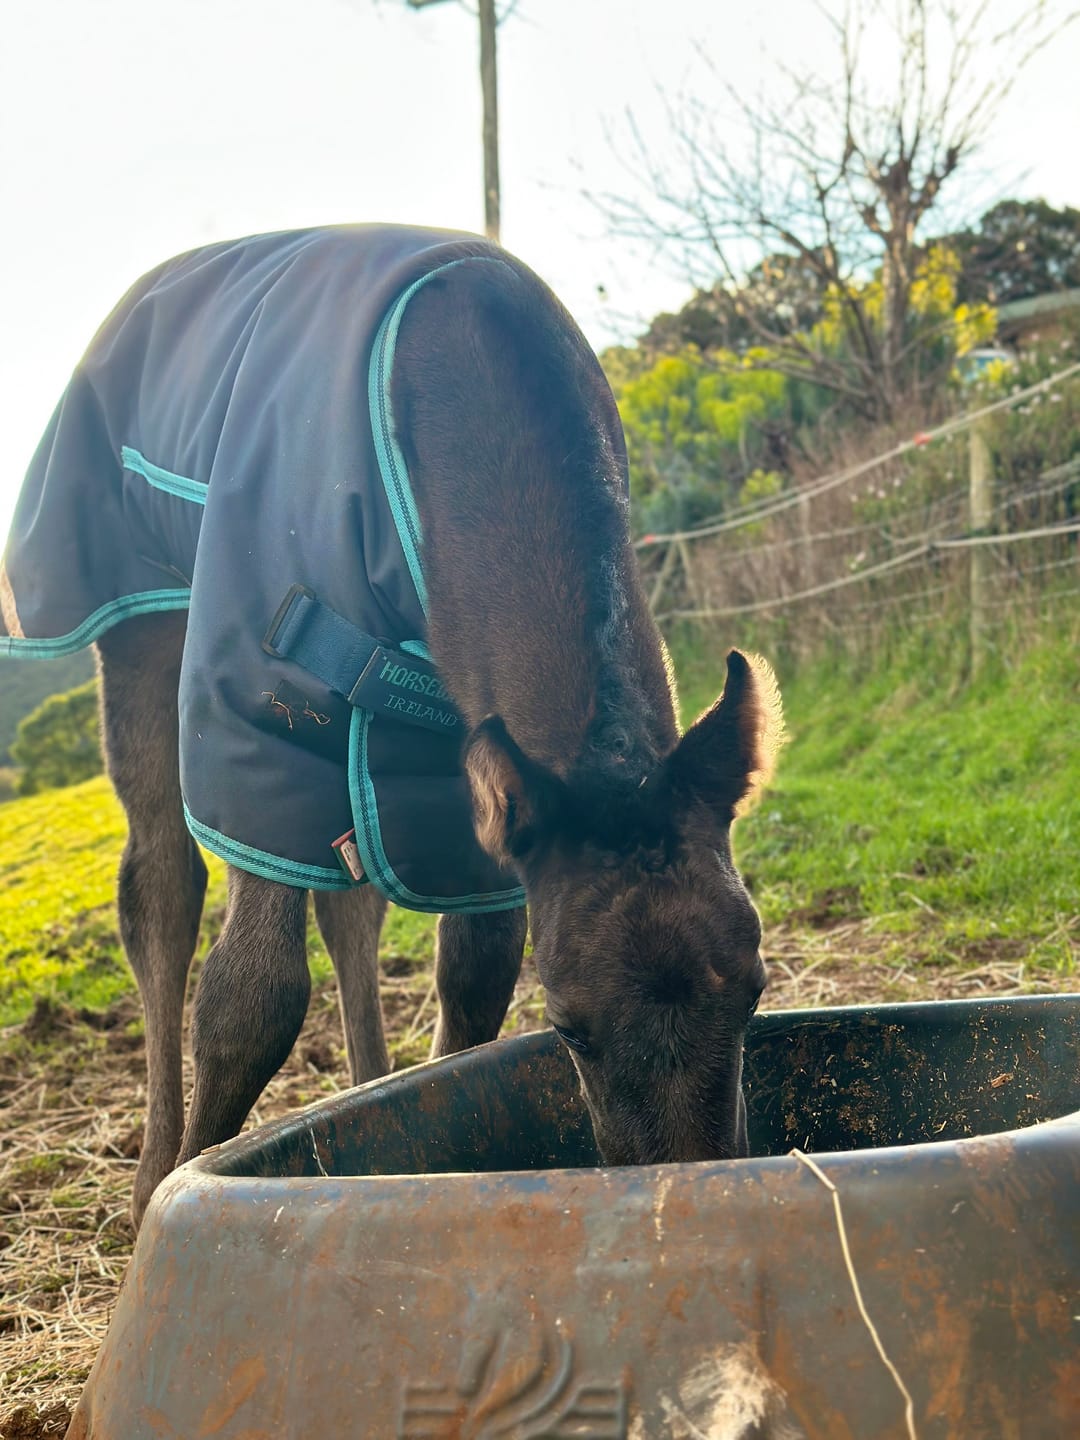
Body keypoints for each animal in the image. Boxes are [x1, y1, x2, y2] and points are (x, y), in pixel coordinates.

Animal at [0, 226, 782, 1226]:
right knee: (160, 885)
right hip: (138, 619)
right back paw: (150, 1172)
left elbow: (476, 970)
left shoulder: (470, 772)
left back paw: (359, 1089)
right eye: (568, 1025)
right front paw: (182, 1187)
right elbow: (251, 996)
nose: (692, 1181)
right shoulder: (259, 697)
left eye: (756, 990)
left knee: (351, 901)